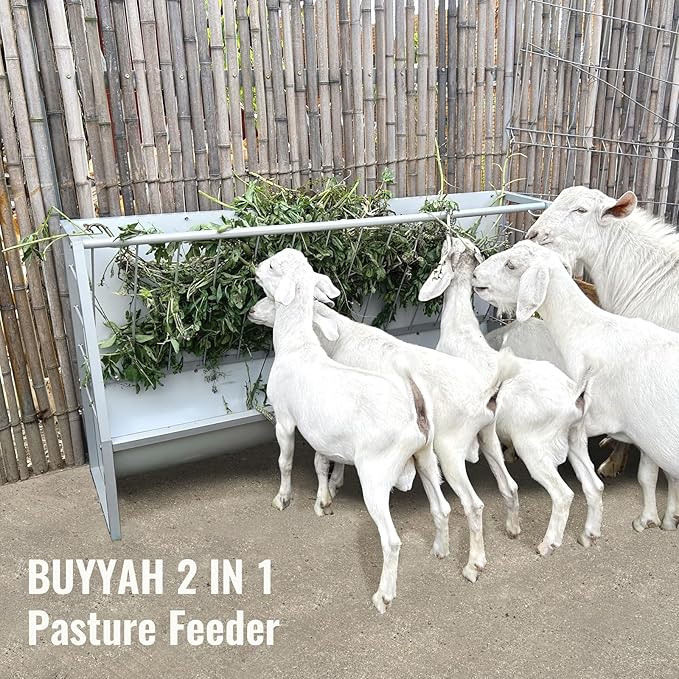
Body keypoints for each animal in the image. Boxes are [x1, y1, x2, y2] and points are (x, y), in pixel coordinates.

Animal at [249, 293, 522, 584]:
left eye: (275, 301)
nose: (252, 311)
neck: (340, 338)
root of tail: (486, 393)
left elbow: (319, 458)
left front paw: (316, 492)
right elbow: (328, 456)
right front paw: (330, 489)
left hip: (449, 448)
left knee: (473, 504)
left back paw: (473, 565)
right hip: (487, 435)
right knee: (508, 484)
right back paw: (512, 528)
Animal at [254, 248, 452, 612]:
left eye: (272, 267)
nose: (256, 268)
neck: (298, 346)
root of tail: (414, 414)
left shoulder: (286, 419)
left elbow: (285, 462)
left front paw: (282, 498)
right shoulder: (322, 435)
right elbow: (320, 464)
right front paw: (323, 501)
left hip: (376, 474)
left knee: (391, 541)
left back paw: (383, 595)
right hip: (426, 457)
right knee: (442, 507)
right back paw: (440, 550)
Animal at [419, 236, 604, 555]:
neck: (460, 329)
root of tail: (574, 394)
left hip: (534, 445)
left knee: (563, 494)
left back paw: (547, 544)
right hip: (576, 439)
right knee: (594, 486)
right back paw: (588, 535)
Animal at [472, 239, 679, 533]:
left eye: (511, 265)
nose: (475, 275)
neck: (590, 330)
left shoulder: (600, 417)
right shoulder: (644, 431)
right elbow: (650, 475)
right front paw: (659, 518)